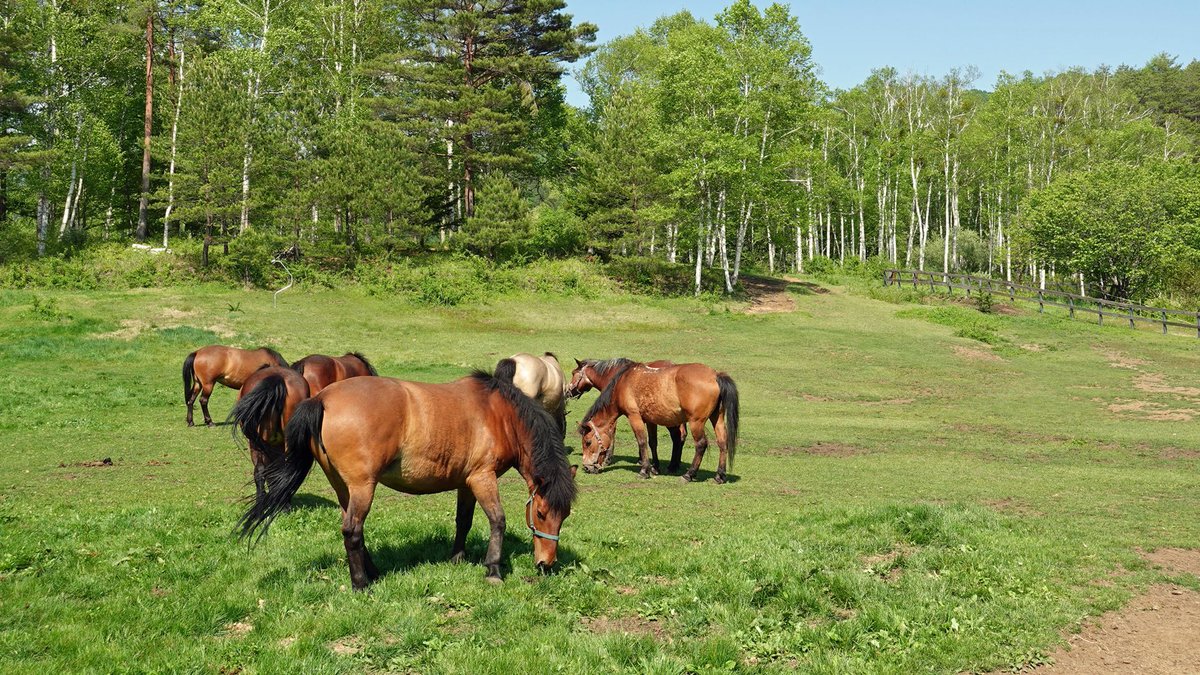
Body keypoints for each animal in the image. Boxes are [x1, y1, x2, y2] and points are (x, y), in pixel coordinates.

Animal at [239, 359, 578, 590]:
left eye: (565, 515)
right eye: (541, 512)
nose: (546, 563)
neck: (499, 414)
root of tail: (321, 398)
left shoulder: (467, 482)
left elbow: (463, 521)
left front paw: (457, 558)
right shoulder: (483, 478)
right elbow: (498, 521)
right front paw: (493, 570)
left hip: (343, 487)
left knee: (352, 527)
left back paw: (372, 572)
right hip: (362, 486)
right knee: (352, 530)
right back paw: (361, 583)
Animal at [578, 360, 738, 484]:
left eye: (588, 442)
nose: (586, 467)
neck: (622, 383)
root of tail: (715, 375)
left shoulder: (634, 417)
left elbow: (642, 442)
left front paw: (644, 470)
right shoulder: (650, 421)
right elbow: (652, 443)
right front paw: (654, 467)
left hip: (696, 422)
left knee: (701, 444)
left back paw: (689, 474)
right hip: (717, 418)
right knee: (722, 442)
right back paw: (720, 476)